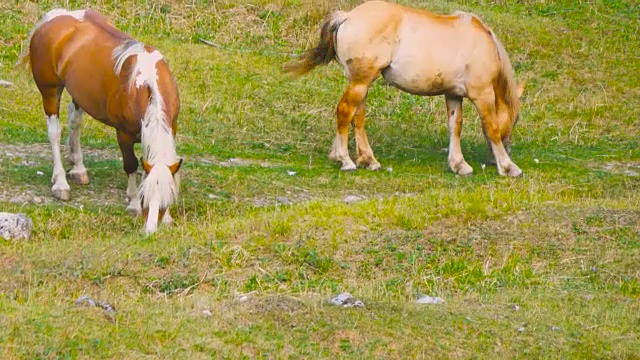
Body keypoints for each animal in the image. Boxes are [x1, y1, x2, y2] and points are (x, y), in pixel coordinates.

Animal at [25, 9, 182, 233]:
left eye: (165, 201)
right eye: (145, 198)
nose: (150, 230)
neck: (144, 83)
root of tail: (56, 16)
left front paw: (167, 218)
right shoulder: (123, 134)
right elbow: (131, 165)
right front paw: (133, 203)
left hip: (79, 93)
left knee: (75, 122)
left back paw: (78, 168)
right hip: (50, 91)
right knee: (54, 132)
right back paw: (60, 183)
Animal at [284, 0, 524, 177]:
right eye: (516, 119)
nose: (497, 159)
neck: (483, 42)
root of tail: (348, 16)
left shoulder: (453, 95)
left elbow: (455, 127)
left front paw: (458, 164)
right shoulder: (482, 94)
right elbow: (491, 127)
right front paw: (508, 166)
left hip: (361, 83)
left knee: (357, 117)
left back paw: (368, 160)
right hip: (361, 81)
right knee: (345, 111)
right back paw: (345, 159)